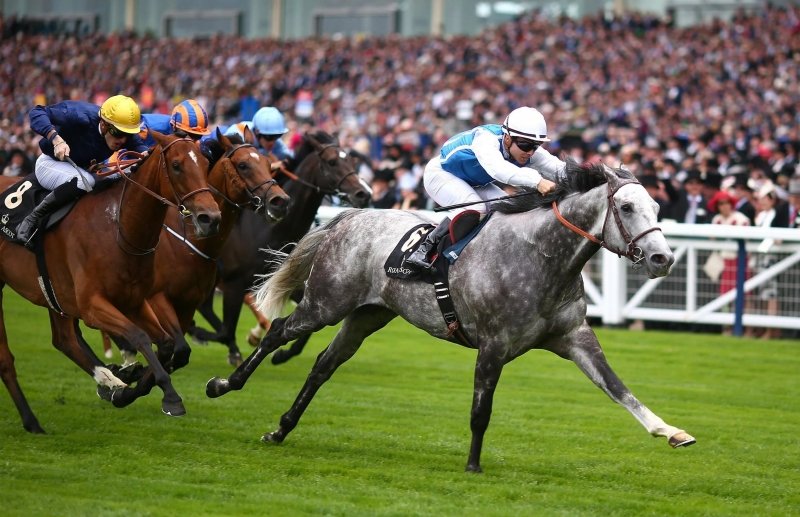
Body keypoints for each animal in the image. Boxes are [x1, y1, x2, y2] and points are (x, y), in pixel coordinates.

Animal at [0, 131, 221, 433]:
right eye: (176, 165)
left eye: (205, 163)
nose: (211, 218)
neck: (119, 229)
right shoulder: (93, 306)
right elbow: (139, 336)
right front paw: (170, 397)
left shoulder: (134, 301)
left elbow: (166, 344)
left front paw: (126, 388)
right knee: (7, 358)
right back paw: (32, 420)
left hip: (55, 294)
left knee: (65, 340)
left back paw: (107, 381)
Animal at [97, 130, 291, 407]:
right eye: (243, 165)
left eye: (268, 164)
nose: (280, 201)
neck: (188, 242)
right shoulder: (157, 298)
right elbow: (175, 348)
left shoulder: (188, 303)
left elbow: (176, 354)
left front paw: (128, 386)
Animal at [188, 130, 372, 365]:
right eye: (332, 162)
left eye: (351, 160)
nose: (363, 193)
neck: (267, 230)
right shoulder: (233, 285)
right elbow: (226, 331)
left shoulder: (287, 280)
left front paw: (282, 354)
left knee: (206, 307)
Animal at [205, 159, 696, 472]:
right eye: (627, 208)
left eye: (657, 208)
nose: (663, 258)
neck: (542, 256)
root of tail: (350, 216)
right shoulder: (494, 344)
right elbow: (482, 409)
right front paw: (474, 465)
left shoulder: (574, 337)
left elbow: (618, 389)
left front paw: (672, 431)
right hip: (326, 302)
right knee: (279, 332)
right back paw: (225, 383)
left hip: (367, 315)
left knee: (324, 365)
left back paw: (281, 429)